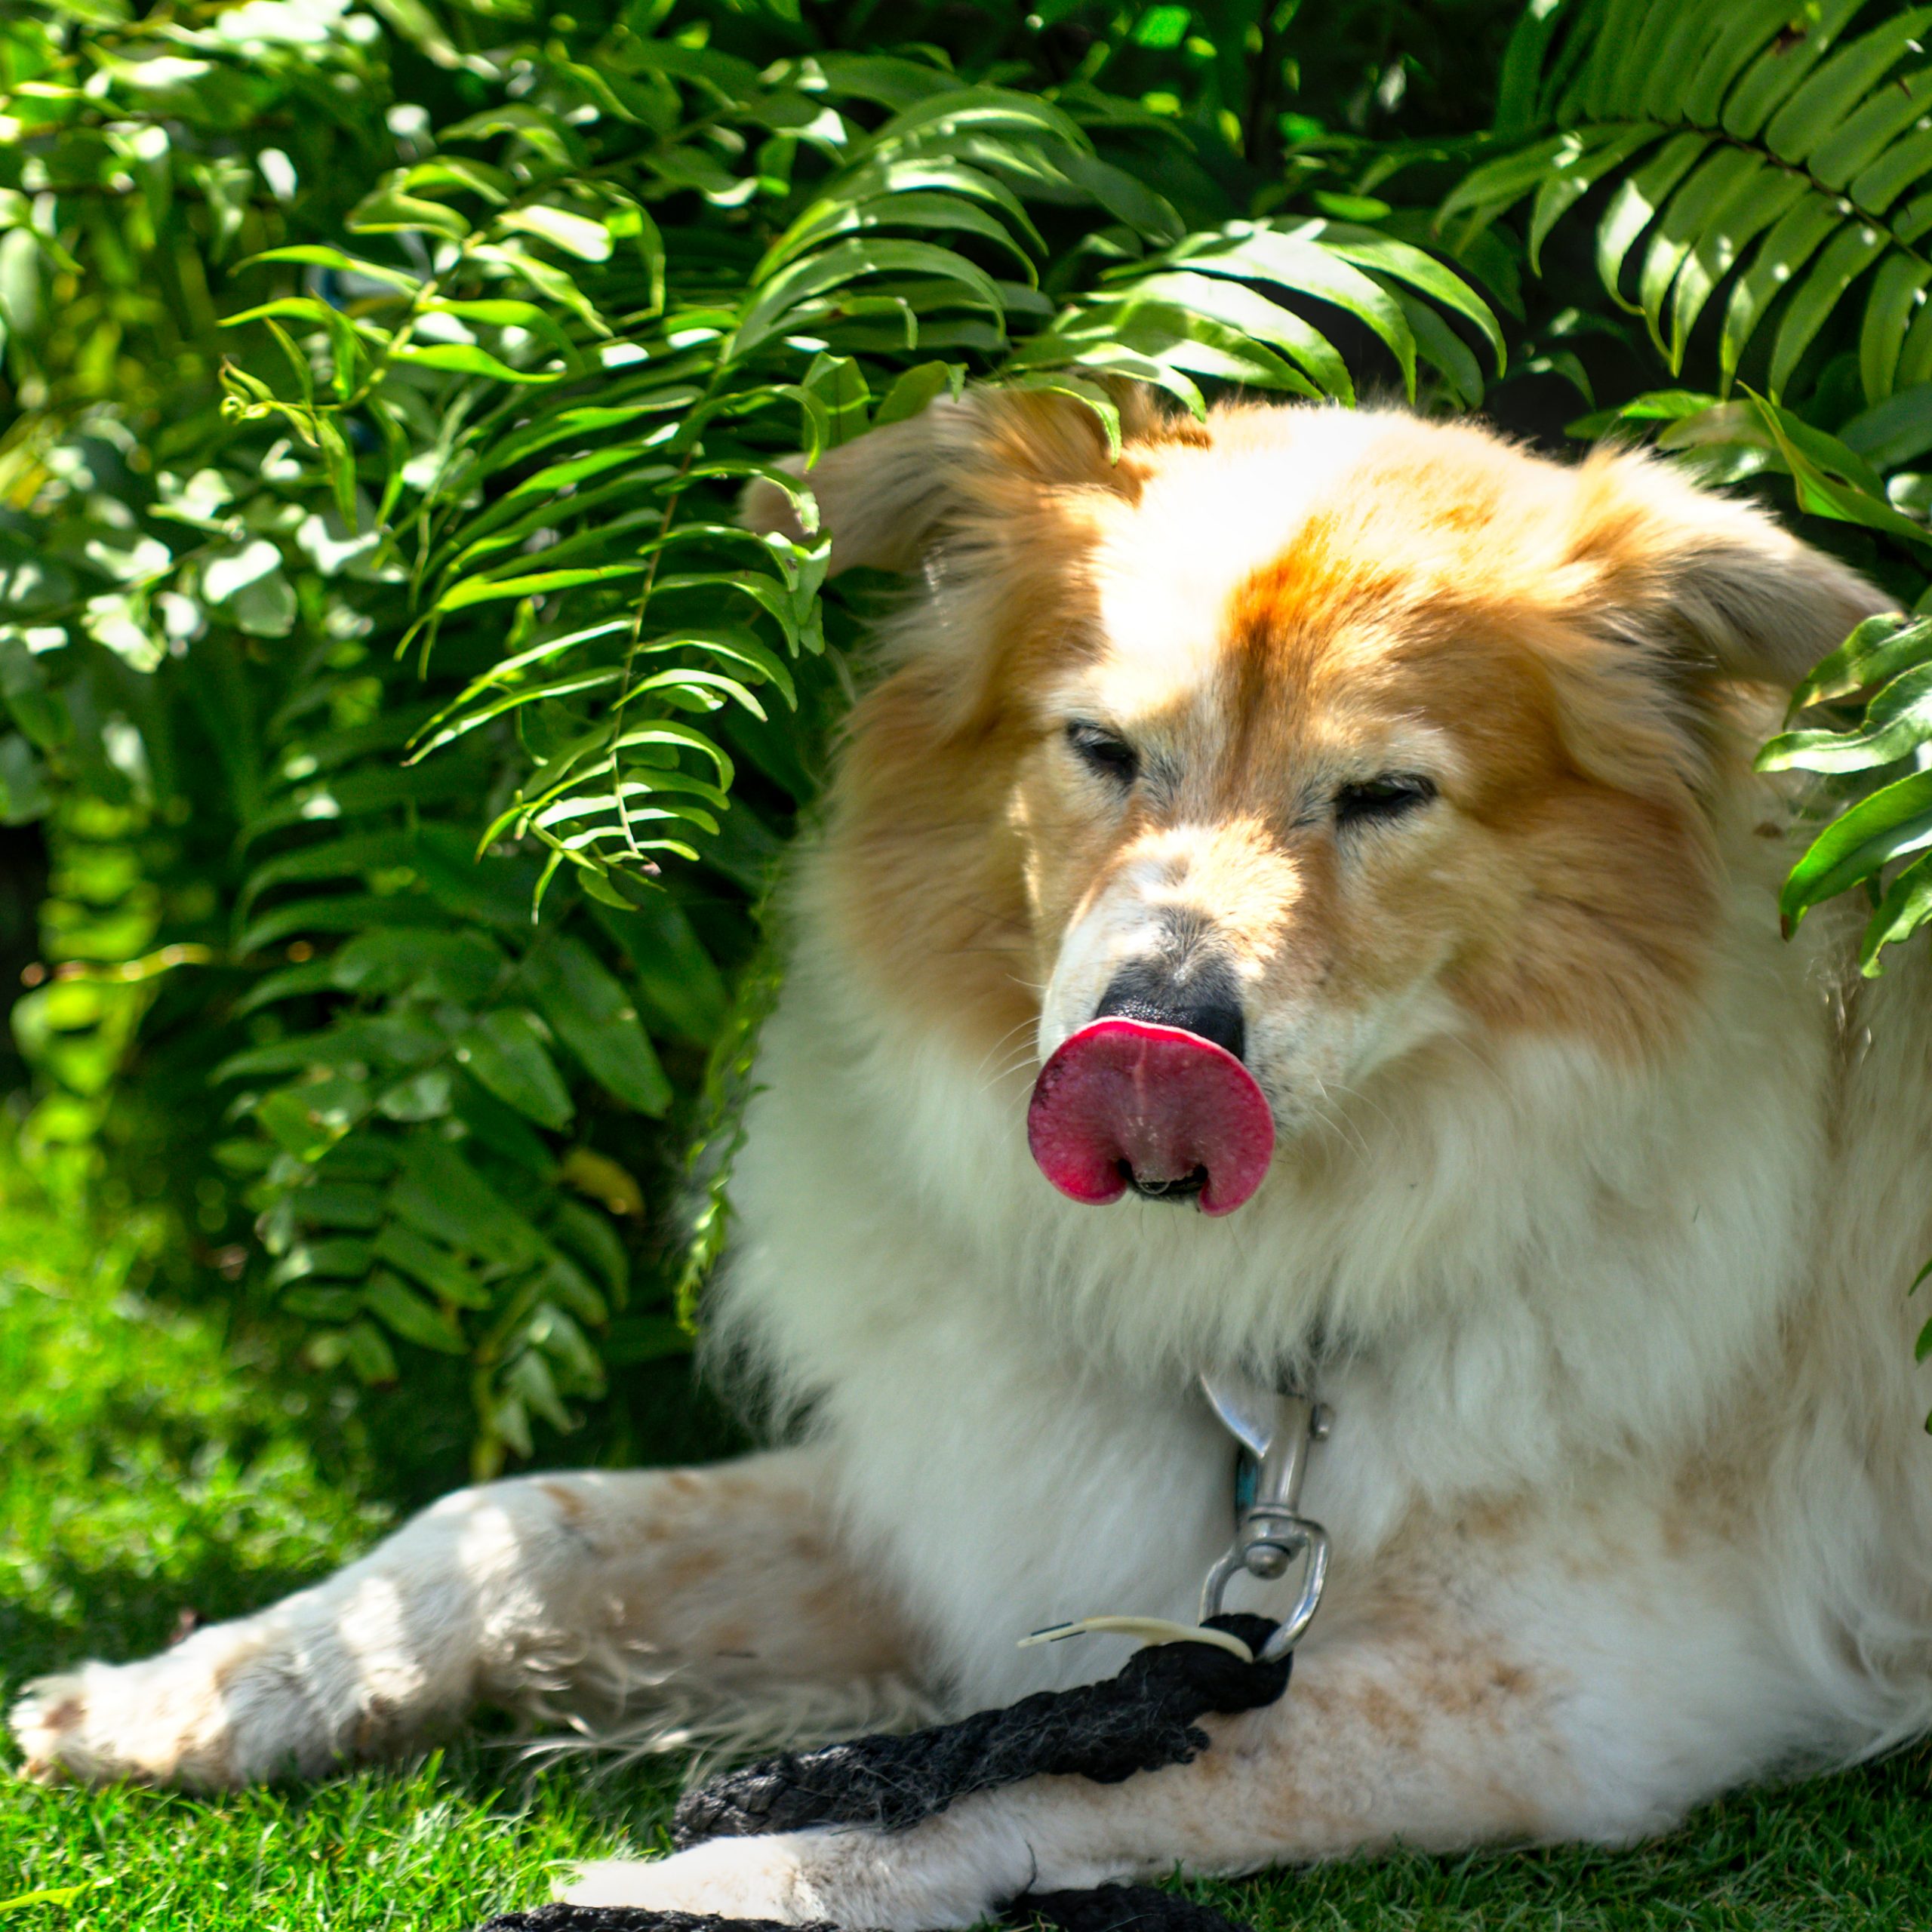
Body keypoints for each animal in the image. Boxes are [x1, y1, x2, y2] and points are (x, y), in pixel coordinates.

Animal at [15, 392, 1932, 1932]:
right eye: (1099, 749)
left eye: (1384, 796)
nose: (1152, 1032)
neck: (1267, 1304)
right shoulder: (975, 1484)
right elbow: (519, 1516)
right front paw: (218, 1679)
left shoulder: (1569, 1686)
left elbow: (1019, 1773)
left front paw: (702, 1885)